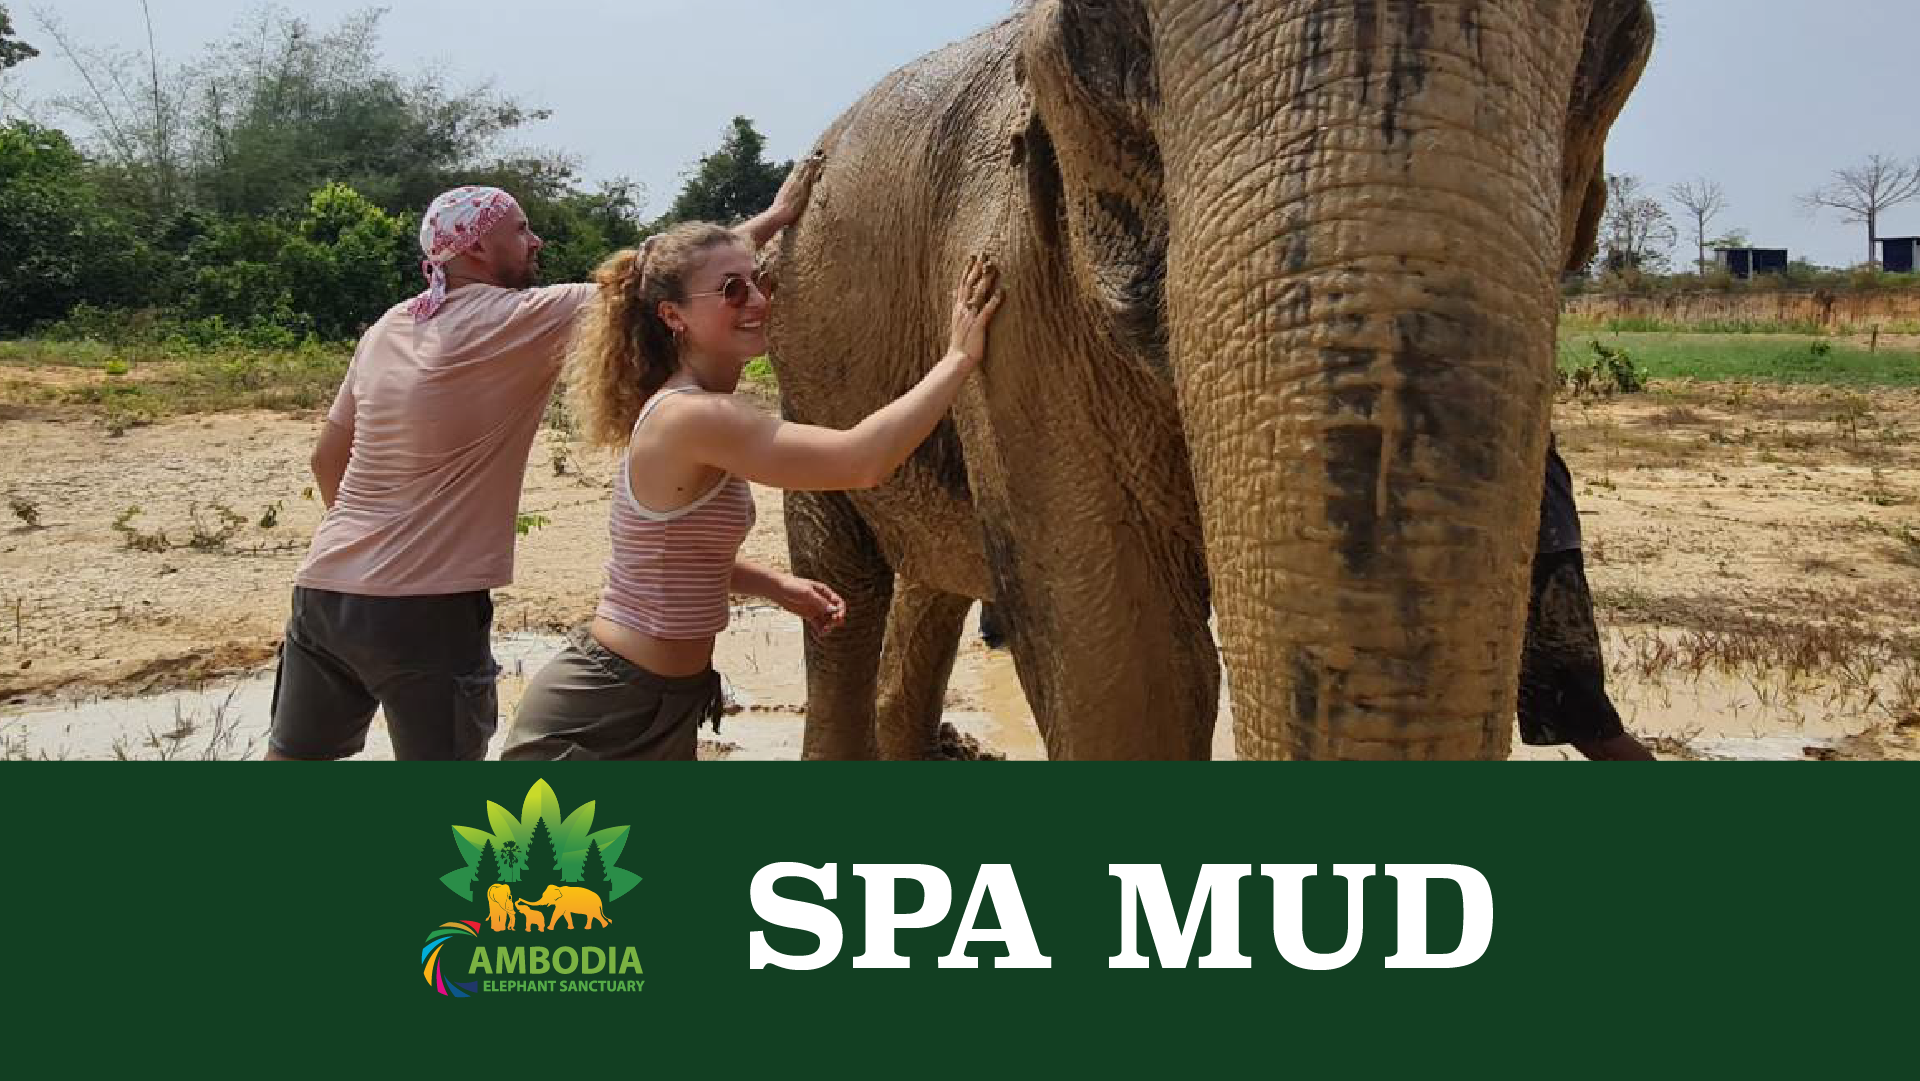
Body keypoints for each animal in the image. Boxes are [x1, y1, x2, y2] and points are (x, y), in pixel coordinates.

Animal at [767, 0, 1654, 760]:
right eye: (1095, 23)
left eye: (1626, 36)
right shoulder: (1012, 280)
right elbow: (1134, 666)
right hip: (802, 365)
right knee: (843, 583)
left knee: (934, 580)